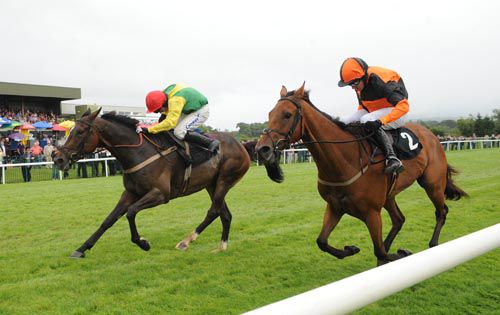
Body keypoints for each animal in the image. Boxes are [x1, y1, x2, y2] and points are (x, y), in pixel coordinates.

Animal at [52, 109, 250, 260]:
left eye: (80, 132)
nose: (58, 158)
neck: (139, 151)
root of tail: (242, 146)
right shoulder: (130, 193)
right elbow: (108, 220)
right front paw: (81, 249)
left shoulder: (161, 194)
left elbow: (131, 212)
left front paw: (143, 243)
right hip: (212, 184)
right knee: (225, 214)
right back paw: (221, 246)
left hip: (225, 179)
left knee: (213, 211)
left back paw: (185, 241)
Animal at [256, 82, 466, 266]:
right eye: (270, 113)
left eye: (287, 114)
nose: (262, 149)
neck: (344, 162)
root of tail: (432, 136)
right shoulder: (335, 206)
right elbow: (322, 241)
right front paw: (350, 249)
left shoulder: (372, 212)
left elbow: (379, 250)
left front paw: (400, 253)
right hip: (389, 195)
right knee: (399, 220)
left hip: (432, 184)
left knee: (441, 211)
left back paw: (433, 244)